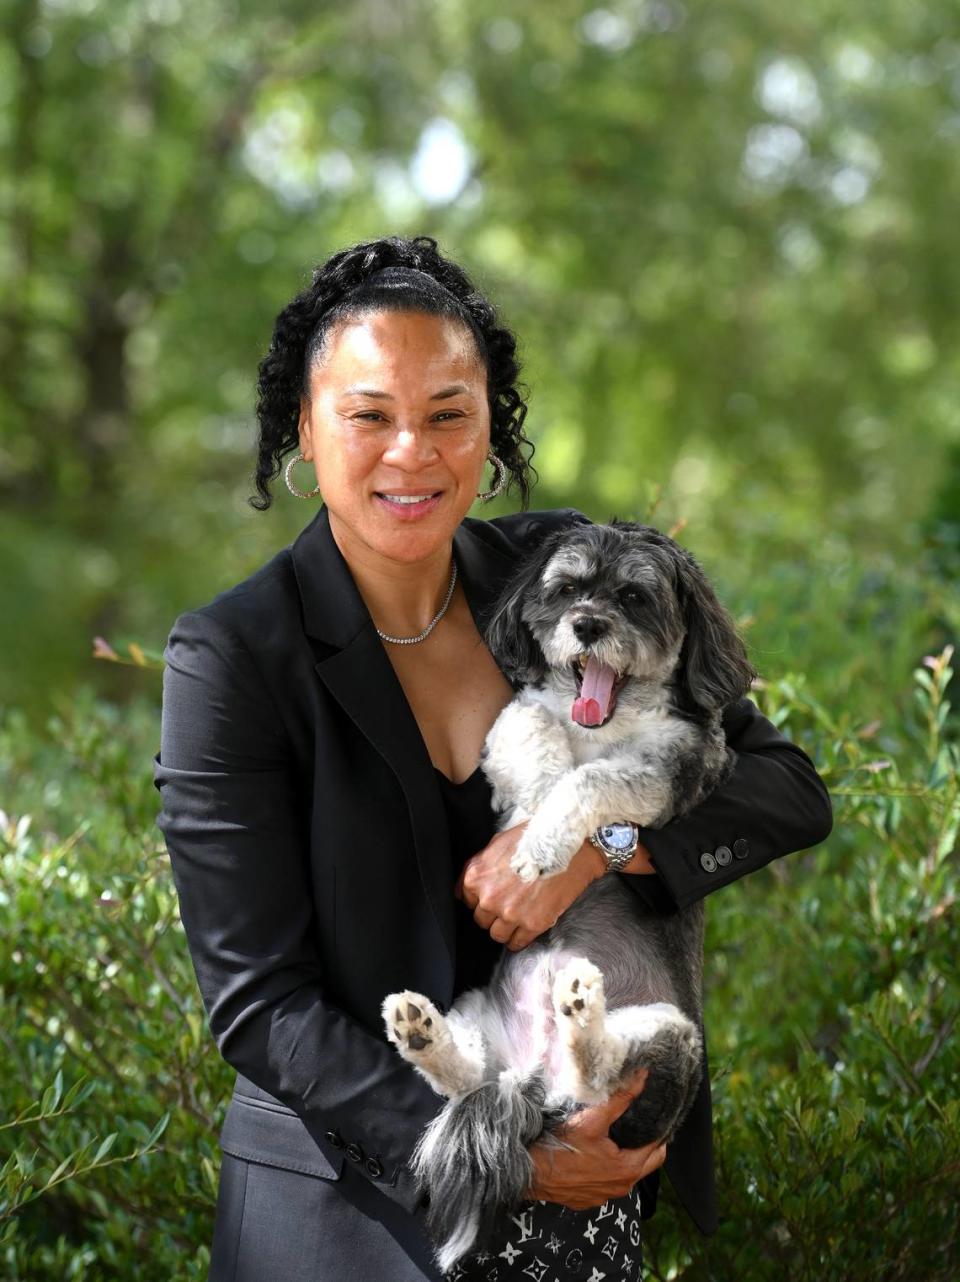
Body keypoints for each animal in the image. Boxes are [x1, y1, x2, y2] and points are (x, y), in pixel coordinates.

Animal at [379, 515, 753, 1266]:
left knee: (601, 1072)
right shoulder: (514, 721)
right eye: (568, 589)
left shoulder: (679, 769)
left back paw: (581, 1013)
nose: (587, 625)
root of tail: (536, 1080)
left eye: (634, 596)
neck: (602, 725)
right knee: (467, 1074)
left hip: (668, 1043)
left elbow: (591, 780)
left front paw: (543, 845)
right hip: (480, 1017)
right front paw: (529, 812)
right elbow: (537, 732)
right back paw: (420, 1031)